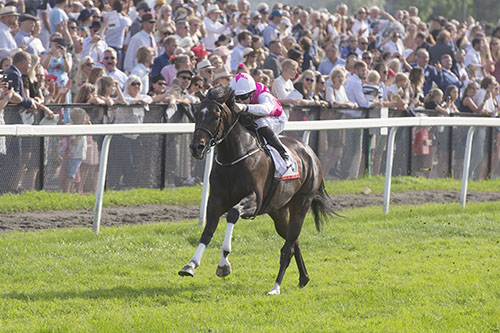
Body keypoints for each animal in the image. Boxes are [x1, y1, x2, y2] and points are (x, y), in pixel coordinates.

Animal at [178, 85, 334, 294]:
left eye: (216, 116)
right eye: (196, 114)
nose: (197, 147)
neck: (233, 159)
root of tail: (310, 153)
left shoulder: (254, 200)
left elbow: (233, 214)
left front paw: (224, 263)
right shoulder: (216, 200)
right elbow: (208, 231)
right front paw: (190, 265)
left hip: (301, 204)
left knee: (288, 247)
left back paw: (276, 287)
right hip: (278, 211)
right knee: (293, 241)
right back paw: (304, 278)